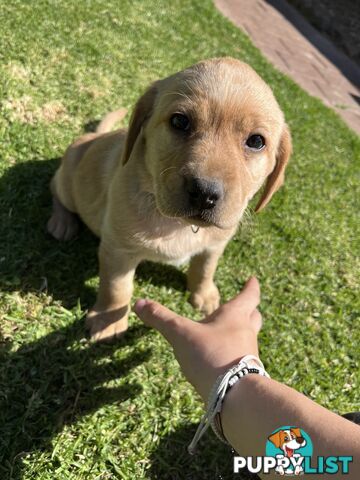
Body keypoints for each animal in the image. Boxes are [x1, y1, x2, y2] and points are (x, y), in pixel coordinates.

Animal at [46, 57, 292, 342]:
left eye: (256, 141)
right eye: (180, 121)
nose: (205, 193)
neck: (179, 225)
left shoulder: (216, 243)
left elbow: (205, 267)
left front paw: (205, 294)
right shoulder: (119, 249)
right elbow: (116, 288)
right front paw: (108, 321)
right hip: (68, 180)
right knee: (56, 189)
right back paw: (62, 222)